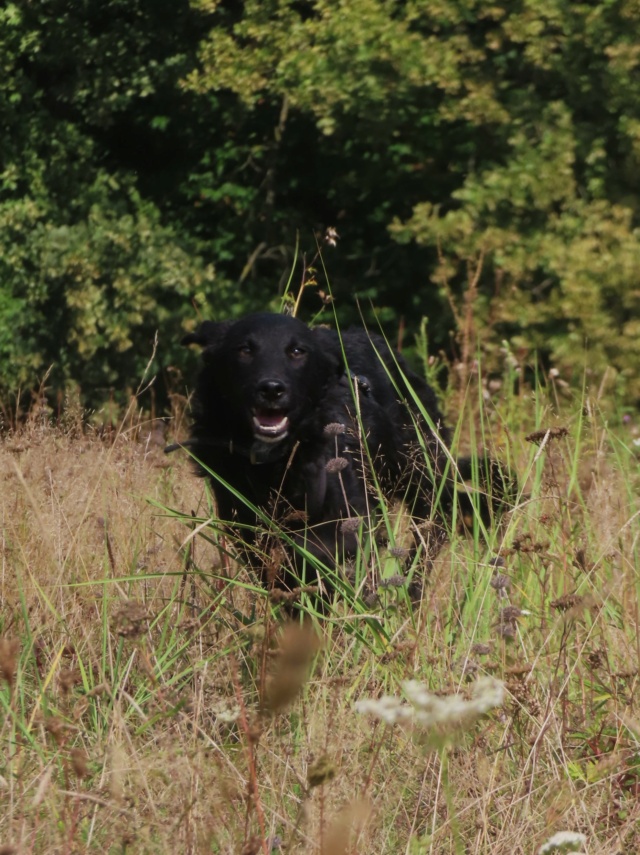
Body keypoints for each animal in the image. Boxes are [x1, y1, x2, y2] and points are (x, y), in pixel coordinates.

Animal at [175, 310, 504, 600]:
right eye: (244, 349)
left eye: (297, 351)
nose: (271, 389)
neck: (278, 461)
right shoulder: (247, 527)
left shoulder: (349, 516)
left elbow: (323, 551)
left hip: (419, 475)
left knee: (434, 528)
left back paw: (409, 592)